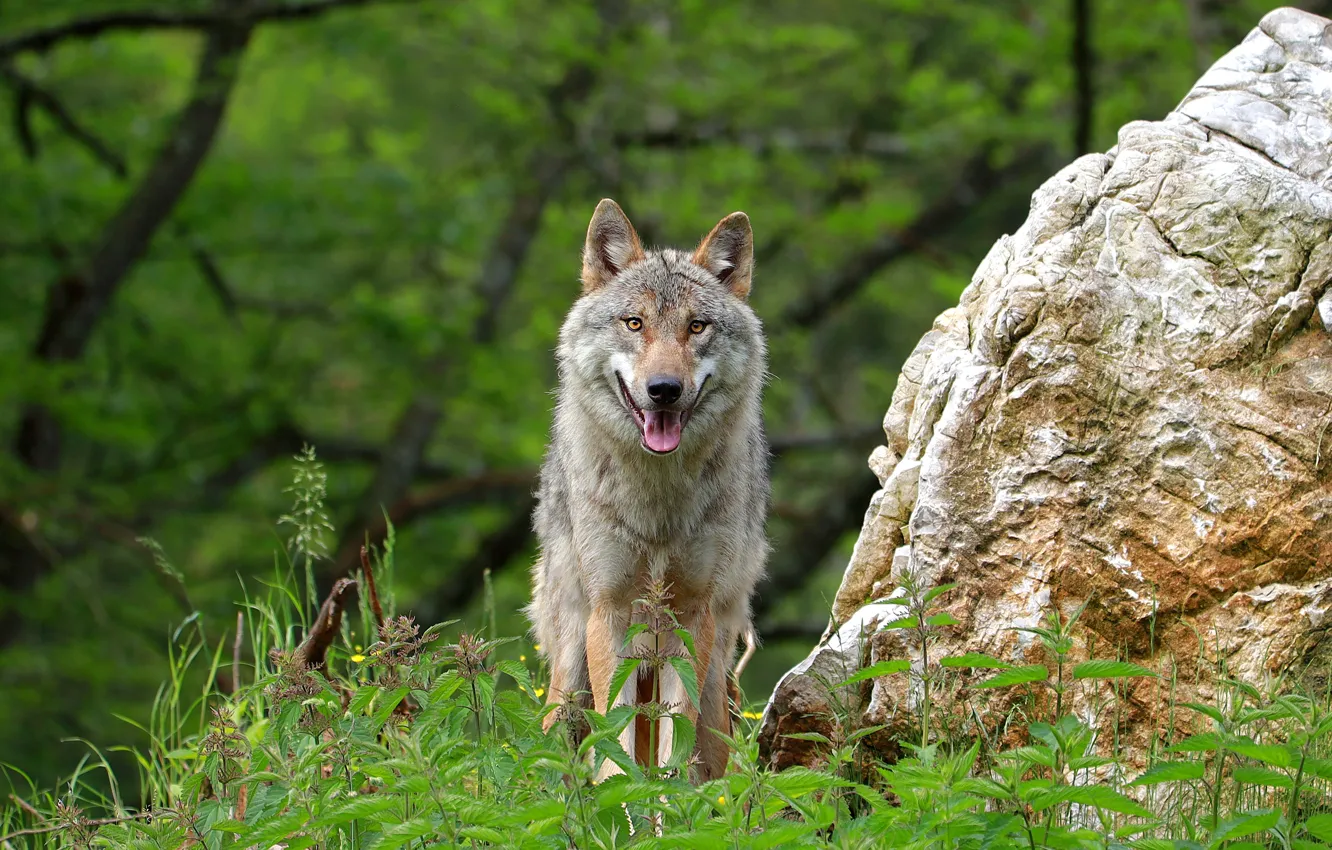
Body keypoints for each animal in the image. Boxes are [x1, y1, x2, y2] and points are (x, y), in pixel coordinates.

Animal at [526, 199, 770, 782]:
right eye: (634, 323)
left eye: (697, 326)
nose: (663, 390)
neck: (658, 505)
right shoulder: (609, 614)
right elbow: (614, 747)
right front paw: (623, 803)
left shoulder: (691, 618)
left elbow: (675, 746)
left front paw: (668, 805)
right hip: (571, 670)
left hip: (713, 676)